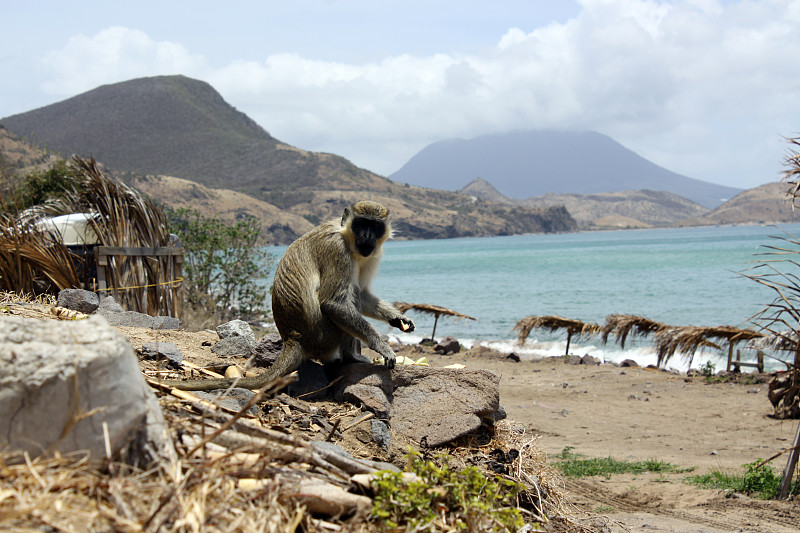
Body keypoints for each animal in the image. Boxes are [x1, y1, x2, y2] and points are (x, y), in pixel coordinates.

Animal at [159, 200, 416, 390]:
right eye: (362, 223)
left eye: (375, 226)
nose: (367, 235)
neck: (347, 237)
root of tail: (293, 337)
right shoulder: (337, 249)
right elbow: (334, 303)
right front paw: (382, 346)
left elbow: (362, 295)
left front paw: (398, 319)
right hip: (323, 335)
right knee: (344, 301)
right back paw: (351, 356)